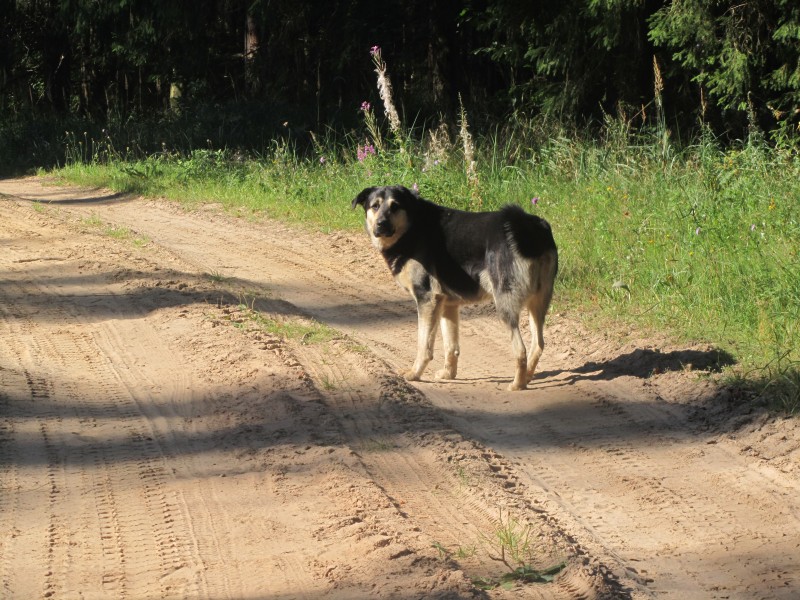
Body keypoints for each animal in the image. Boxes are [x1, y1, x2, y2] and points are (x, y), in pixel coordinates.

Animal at [352, 185, 558, 391]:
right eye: (375, 206)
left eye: (395, 206)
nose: (381, 224)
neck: (412, 227)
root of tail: (527, 227)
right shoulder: (447, 305)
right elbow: (451, 346)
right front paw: (448, 374)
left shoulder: (427, 300)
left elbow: (424, 345)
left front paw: (415, 374)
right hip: (538, 304)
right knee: (538, 345)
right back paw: (528, 377)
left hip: (505, 305)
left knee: (520, 350)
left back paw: (517, 384)